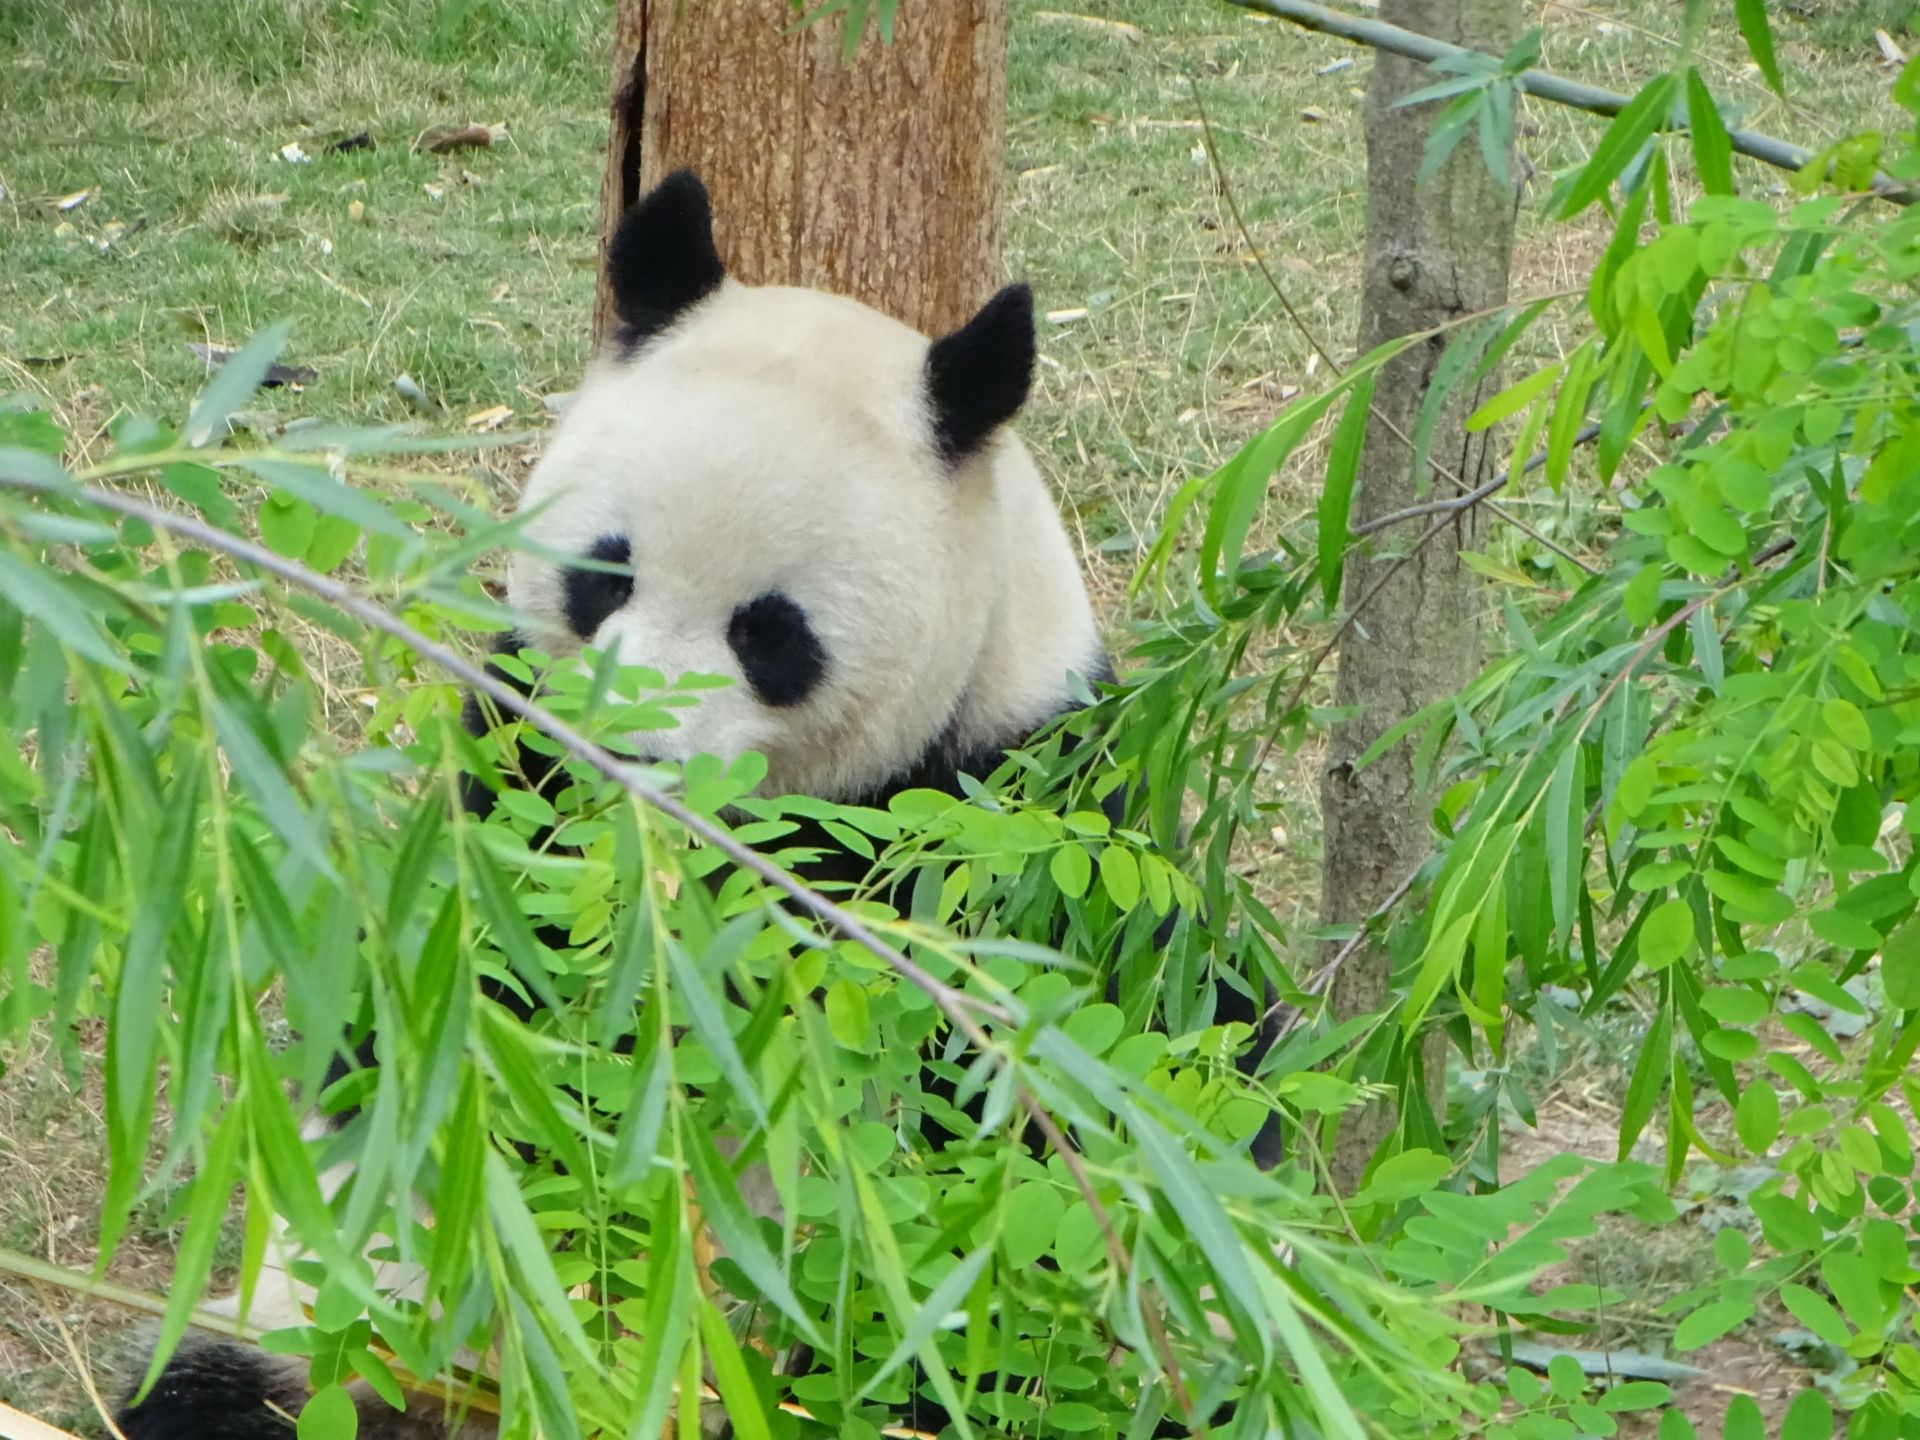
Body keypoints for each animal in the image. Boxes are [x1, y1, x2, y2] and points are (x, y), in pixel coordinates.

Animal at [117, 170, 1272, 1440]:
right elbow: (451, 1004)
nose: (630, 752)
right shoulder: (520, 769)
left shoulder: (1003, 816)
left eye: (770, 634)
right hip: (330, 1329)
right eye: (606, 572)